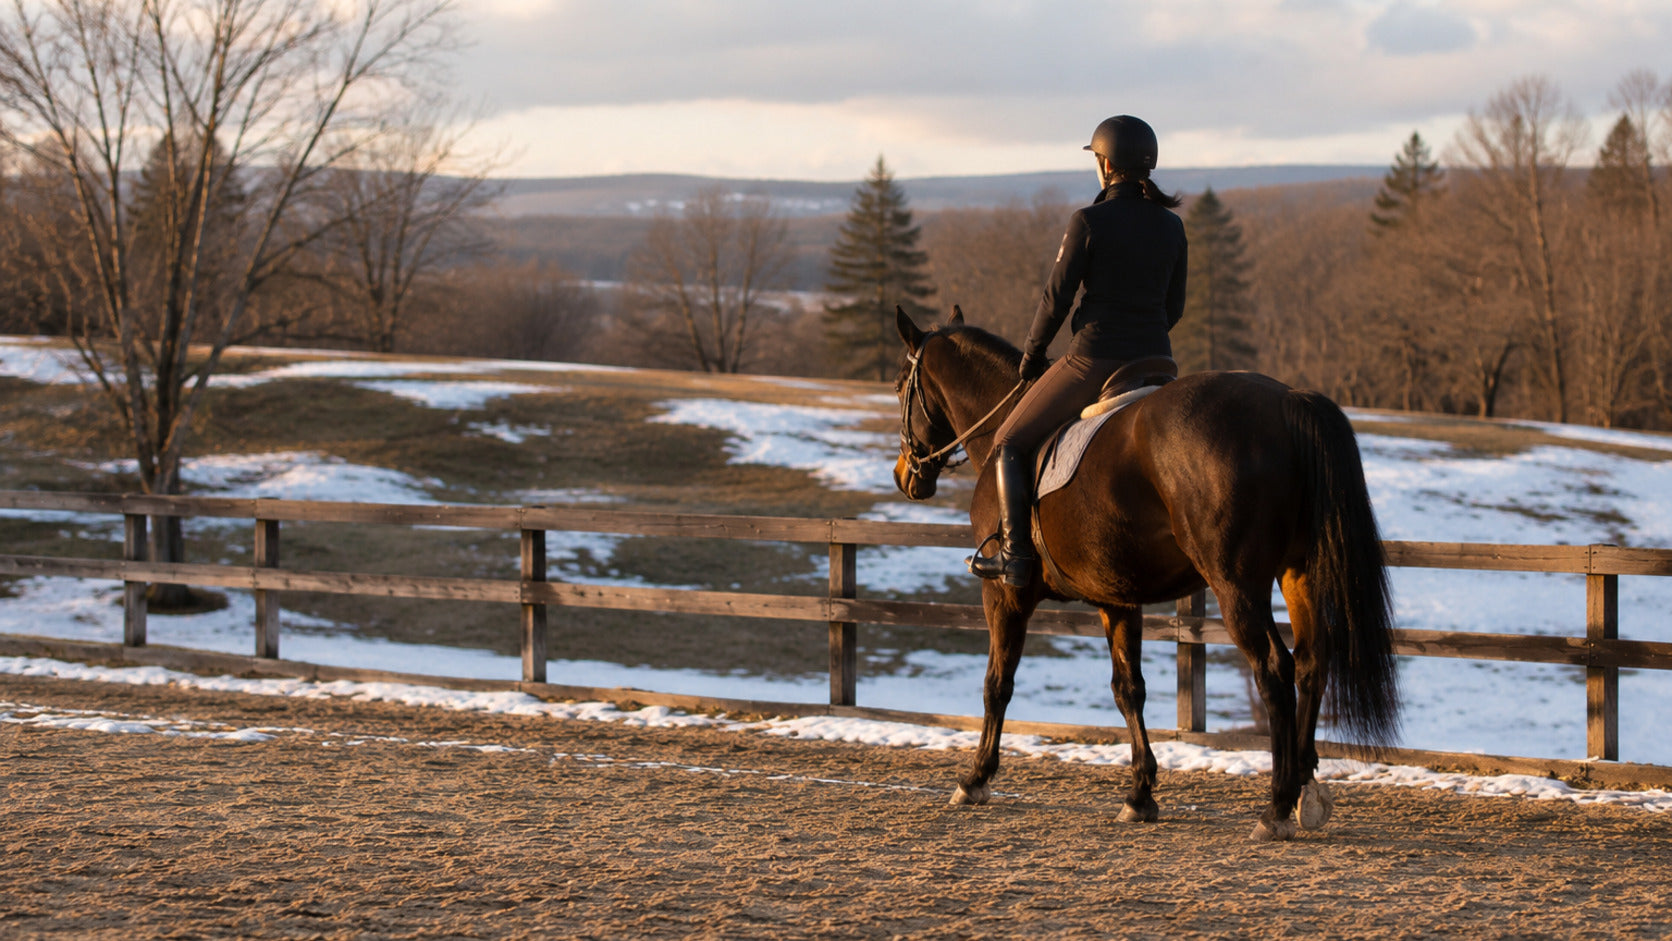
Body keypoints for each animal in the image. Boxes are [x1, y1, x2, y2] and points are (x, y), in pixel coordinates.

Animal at [892, 306, 1399, 842]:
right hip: (1296, 572)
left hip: (1236, 585)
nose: (904, 475)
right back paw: (1305, 789)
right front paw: (1139, 793)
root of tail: (1285, 400)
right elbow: (1128, 688)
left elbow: (997, 684)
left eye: (901, 384)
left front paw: (974, 779)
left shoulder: (1004, 595)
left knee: (1273, 670)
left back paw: (1276, 806)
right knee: (1311, 662)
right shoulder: (1116, 598)